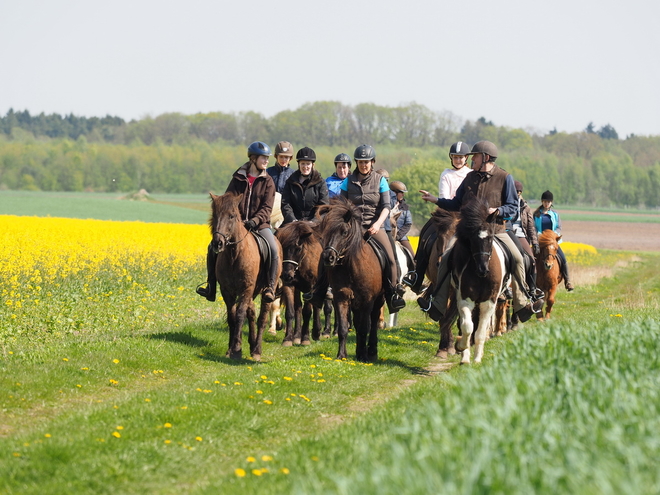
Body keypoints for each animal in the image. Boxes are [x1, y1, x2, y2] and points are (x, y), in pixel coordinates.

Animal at [318, 200, 384, 362]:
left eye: (344, 232)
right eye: (326, 233)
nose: (328, 258)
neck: (352, 267)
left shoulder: (367, 301)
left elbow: (364, 327)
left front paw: (364, 356)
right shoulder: (342, 298)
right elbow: (344, 328)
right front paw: (342, 355)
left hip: (379, 299)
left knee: (373, 322)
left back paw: (371, 351)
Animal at [452, 198, 508, 364]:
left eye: (490, 237)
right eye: (472, 239)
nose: (483, 269)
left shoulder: (488, 302)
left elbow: (480, 332)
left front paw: (477, 359)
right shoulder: (465, 300)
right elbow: (467, 327)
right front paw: (461, 348)